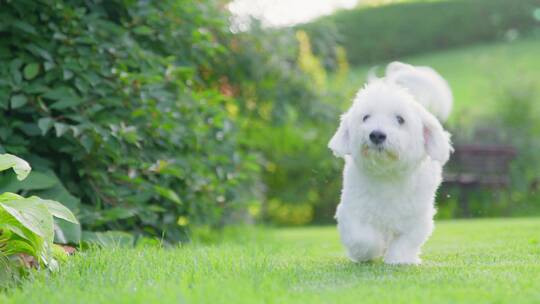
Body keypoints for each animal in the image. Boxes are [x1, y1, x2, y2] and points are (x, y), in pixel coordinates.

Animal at [330, 61, 452, 264]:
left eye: (400, 119)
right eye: (366, 117)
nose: (377, 134)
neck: (387, 174)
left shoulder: (417, 218)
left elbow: (405, 241)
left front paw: (399, 259)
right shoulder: (351, 210)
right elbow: (362, 237)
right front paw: (368, 251)